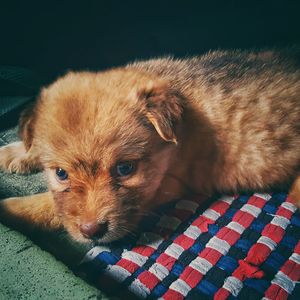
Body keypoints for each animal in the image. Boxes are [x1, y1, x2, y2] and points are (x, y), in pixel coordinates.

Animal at [0, 48, 300, 243]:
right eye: (61, 174)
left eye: (125, 169)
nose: (92, 232)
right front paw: (16, 152)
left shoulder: (168, 185)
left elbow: (50, 203)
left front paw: (12, 209)